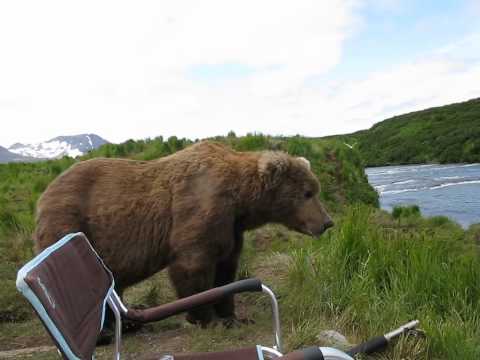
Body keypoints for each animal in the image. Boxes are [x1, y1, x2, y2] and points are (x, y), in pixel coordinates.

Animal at [34, 140, 334, 324]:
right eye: (307, 193)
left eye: (315, 190)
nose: (327, 222)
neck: (240, 201)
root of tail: (44, 194)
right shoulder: (200, 208)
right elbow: (193, 265)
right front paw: (205, 318)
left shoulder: (231, 228)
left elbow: (226, 268)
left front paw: (232, 315)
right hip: (70, 222)